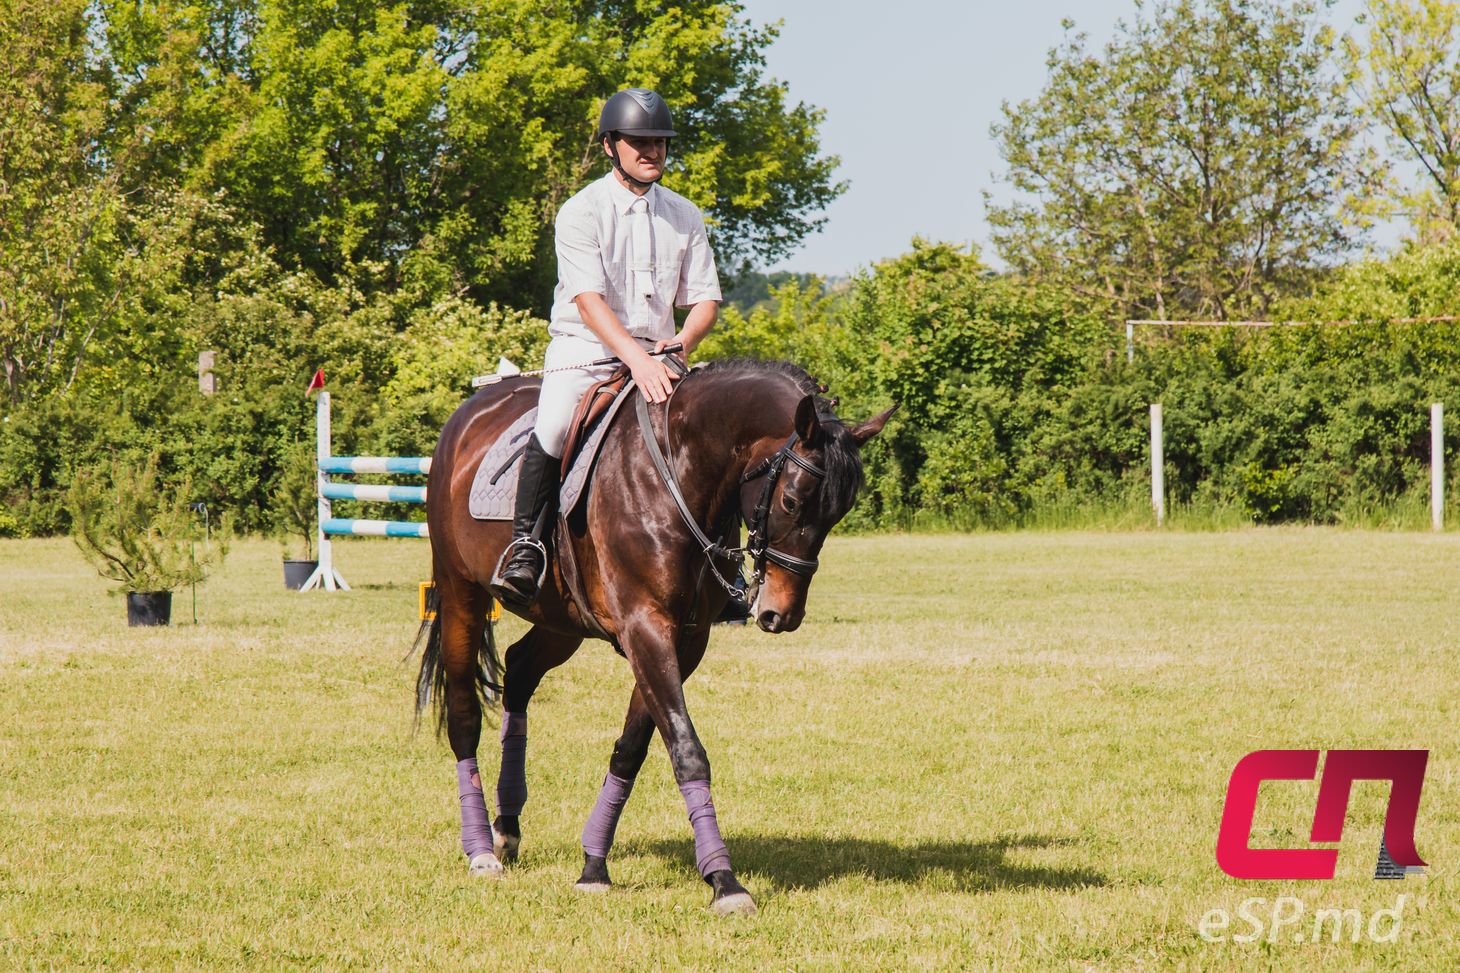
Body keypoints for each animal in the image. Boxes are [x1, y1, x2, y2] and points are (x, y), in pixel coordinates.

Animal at [411, 355, 887, 911]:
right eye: (791, 500)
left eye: (839, 512)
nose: (780, 614)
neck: (680, 472)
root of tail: (468, 413)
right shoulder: (645, 626)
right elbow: (686, 750)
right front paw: (724, 881)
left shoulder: (683, 638)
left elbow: (633, 748)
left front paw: (594, 865)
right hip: (461, 595)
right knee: (465, 715)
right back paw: (482, 851)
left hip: (561, 619)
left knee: (521, 669)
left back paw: (507, 826)